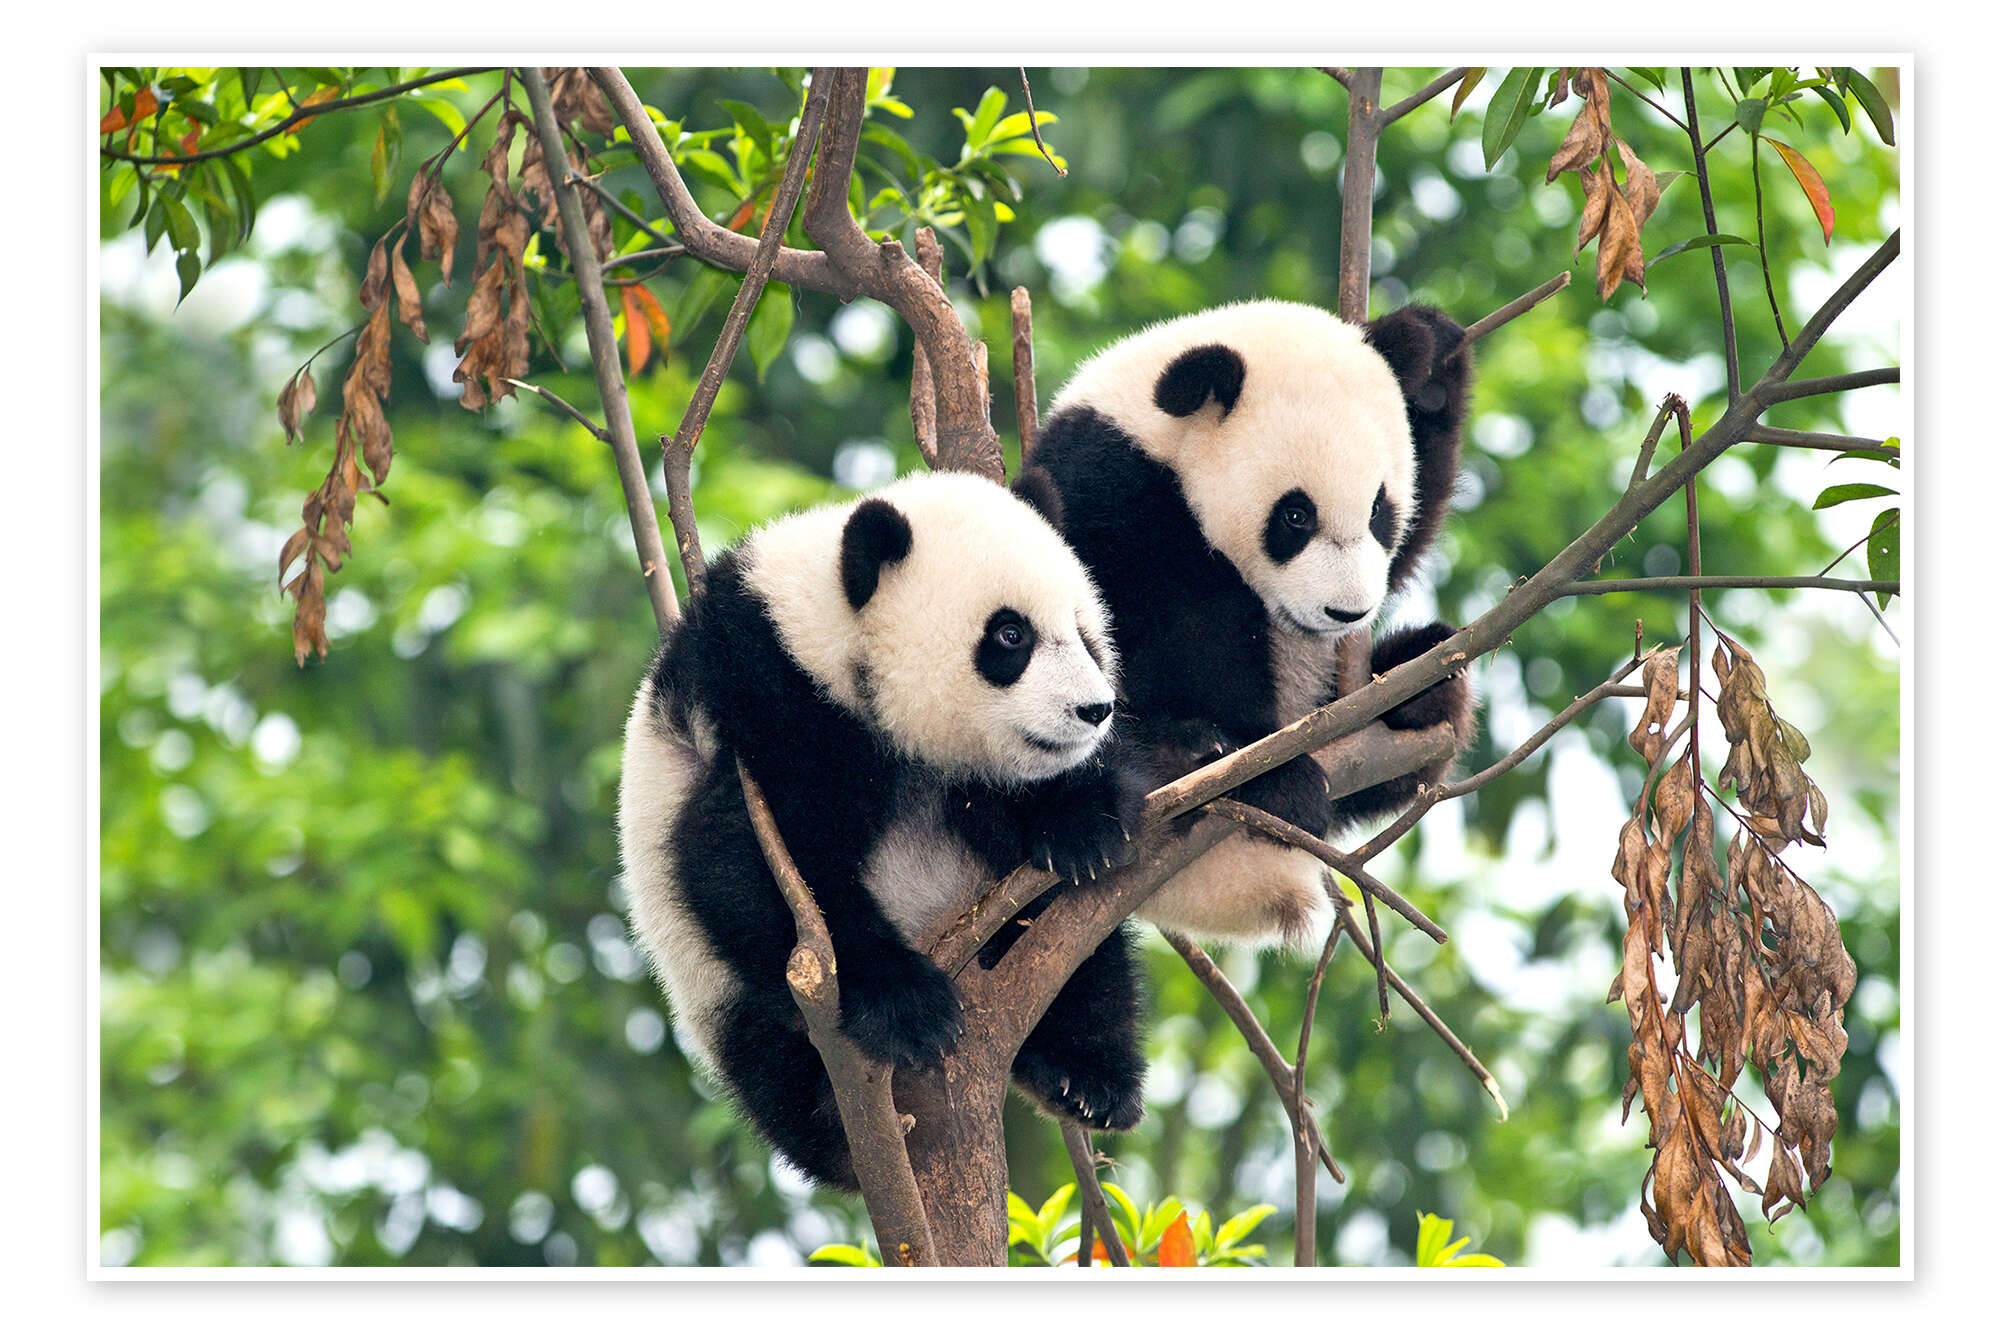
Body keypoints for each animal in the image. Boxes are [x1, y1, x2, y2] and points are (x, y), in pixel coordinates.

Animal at [617, 470, 1150, 1191]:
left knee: (1085, 954)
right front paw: (906, 1003)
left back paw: (1086, 1076)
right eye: (1011, 636)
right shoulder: (764, 701)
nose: (1095, 709)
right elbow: (747, 862)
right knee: (771, 1063)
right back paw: (834, 1123)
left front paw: (1084, 822)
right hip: (714, 990)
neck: (827, 636)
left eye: (1085, 632)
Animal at [1026, 299, 1476, 946]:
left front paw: (1432, 355)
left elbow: (1409, 541)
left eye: (1378, 509)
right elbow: (1150, 635)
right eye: (1295, 515)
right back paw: (1197, 758)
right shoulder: (1108, 484)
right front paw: (1264, 768)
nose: (1346, 613)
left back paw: (1421, 687)